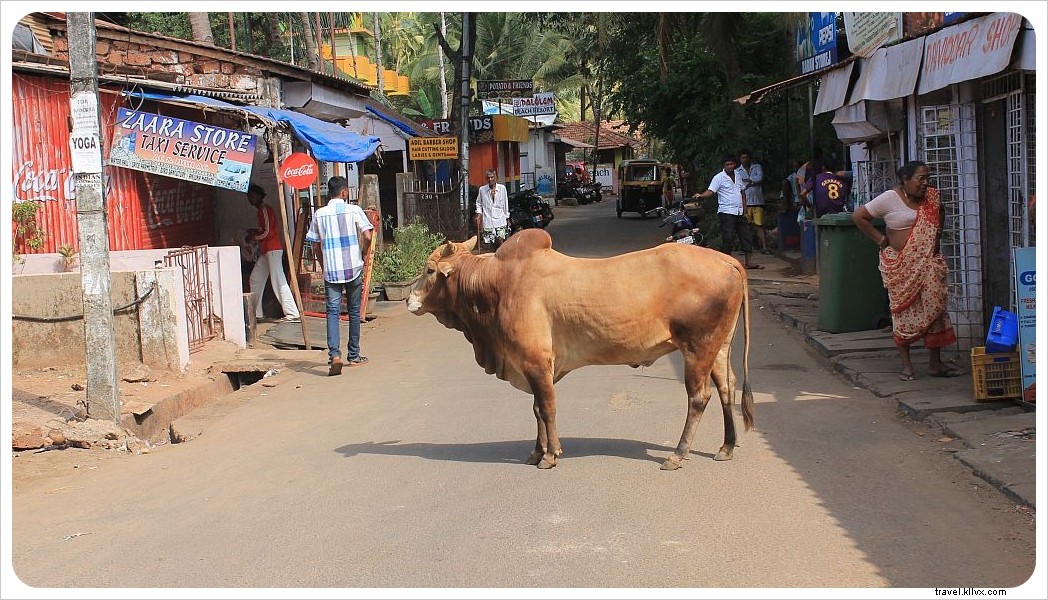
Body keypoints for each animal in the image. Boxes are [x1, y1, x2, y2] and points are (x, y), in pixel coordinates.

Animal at [406, 228, 754, 470]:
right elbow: (536, 409)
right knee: (727, 388)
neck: (497, 284)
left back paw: (678, 455)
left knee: (699, 397)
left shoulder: (536, 362)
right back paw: (726, 447)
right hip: (720, 347)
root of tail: (727, 259)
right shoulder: (532, 366)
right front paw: (536, 451)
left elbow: (546, 408)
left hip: (697, 347)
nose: (409, 299)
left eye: (430, 270)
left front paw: (550, 455)